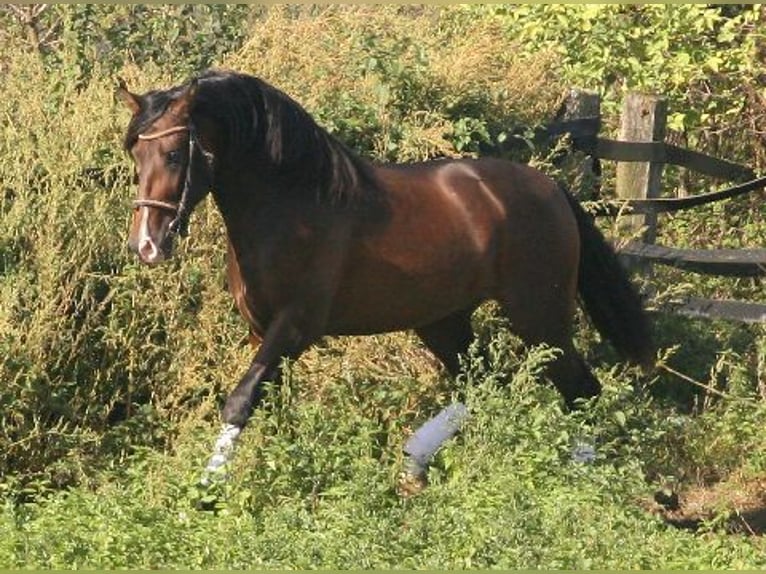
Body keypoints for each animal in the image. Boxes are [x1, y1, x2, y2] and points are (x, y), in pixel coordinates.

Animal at [115, 68, 656, 486]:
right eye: (135, 155)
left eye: (174, 155)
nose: (146, 245)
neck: (290, 202)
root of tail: (552, 188)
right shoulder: (261, 330)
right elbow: (270, 402)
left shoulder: (295, 326)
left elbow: (241, 400)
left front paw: (207, 490)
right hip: (443, 322)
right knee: (485, 384)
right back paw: (414, 464)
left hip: (539, 318)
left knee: (580, 388)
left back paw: (584, 478)